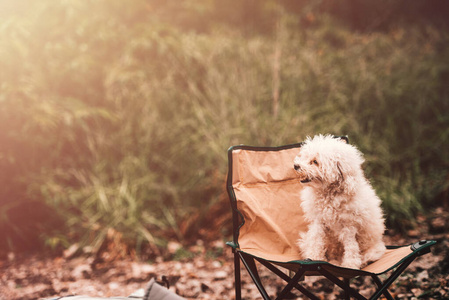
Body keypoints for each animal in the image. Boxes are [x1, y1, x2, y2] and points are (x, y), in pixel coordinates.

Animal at [294, 135, 384, 268]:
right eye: (304, 157)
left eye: (315, 161)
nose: (296, 165)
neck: (329, 195)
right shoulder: (319, 222)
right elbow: (316, 241)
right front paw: (314, 258)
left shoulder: (349, 226)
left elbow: (351, 247)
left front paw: (350, 265)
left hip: (373, 250)